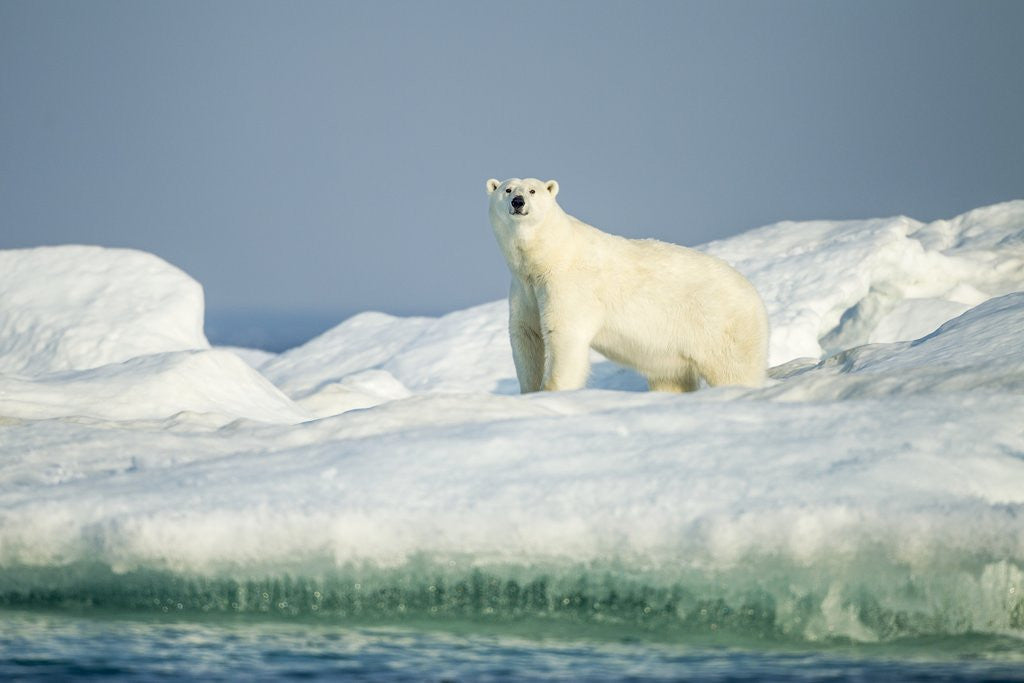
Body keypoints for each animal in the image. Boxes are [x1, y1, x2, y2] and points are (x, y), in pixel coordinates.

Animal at [486, 177, 769, 393]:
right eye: (507, 189)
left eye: (533, 190)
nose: (518, 202)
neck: (549, 256)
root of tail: (755, 296)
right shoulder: (524, 289)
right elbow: (527, 336)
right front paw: (530, 393)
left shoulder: (568, 284)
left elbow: (563, 334)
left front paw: (553, 392)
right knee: (672, 378)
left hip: (720, 328)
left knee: (734, 370)